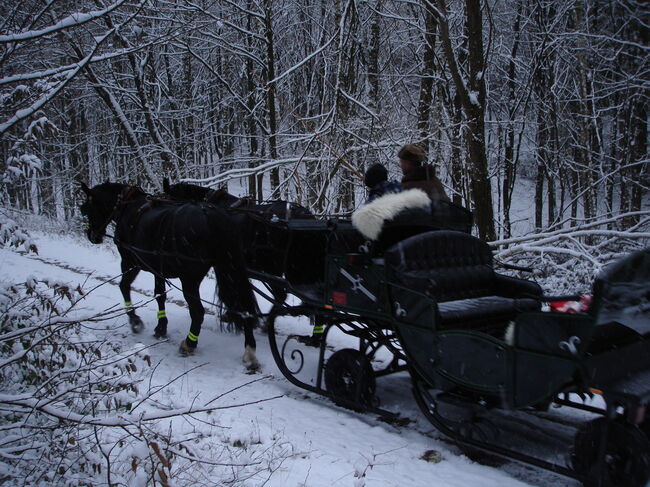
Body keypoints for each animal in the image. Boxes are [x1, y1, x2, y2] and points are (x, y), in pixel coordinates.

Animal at [77, 183, 256, 370]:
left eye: (88, 208)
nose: (92, 235)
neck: (128, 205)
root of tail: (212, 217)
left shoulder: (130, 262)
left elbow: (124, 286)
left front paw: (135, 321)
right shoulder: (158, 268)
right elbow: (160, 295)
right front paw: (161, 327)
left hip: (189, 278)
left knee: (198, 311)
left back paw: (189, 344)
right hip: (229, 268)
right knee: (244, 307)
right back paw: (249, 351)